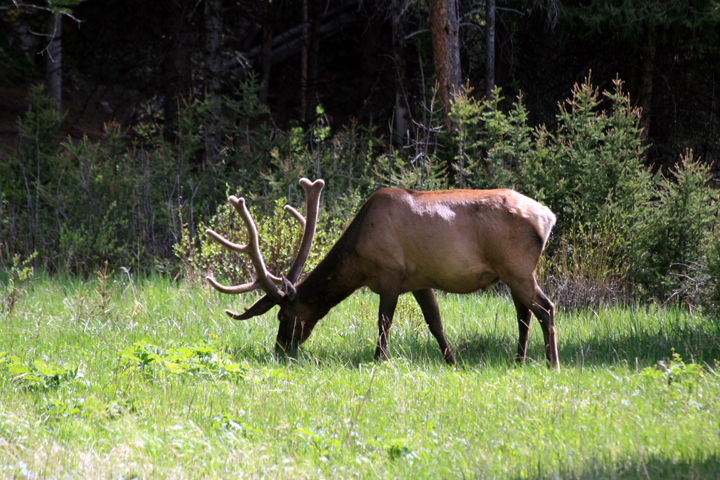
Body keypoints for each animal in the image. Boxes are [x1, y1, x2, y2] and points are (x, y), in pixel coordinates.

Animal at [206, 178, 559, 369]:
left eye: (283, 316)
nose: (280, 350)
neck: (359, 261)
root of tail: (548, 217)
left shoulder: (391, 274)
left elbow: (383, 324)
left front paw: (378, 360)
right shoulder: (420, 281)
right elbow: (435, 323)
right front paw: (452, 362)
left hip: (518, 268)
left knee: (546, 308)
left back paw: (551, 362)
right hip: (513, 275)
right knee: (524, 314)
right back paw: (518, 360)